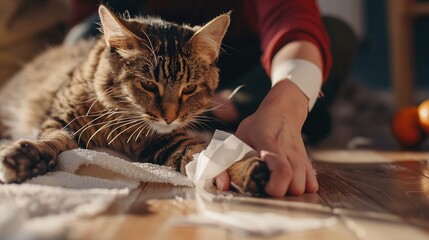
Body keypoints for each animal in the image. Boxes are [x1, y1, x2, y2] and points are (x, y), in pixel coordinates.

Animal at [0, 6, 268, 195]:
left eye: (189, 88)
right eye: (148, 85)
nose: (169, 118)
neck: (120, 121)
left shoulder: (166, 142)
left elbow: (202, 152)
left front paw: (241, 171)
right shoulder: (60, 120)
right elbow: (53, 140)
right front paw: (26, 158)